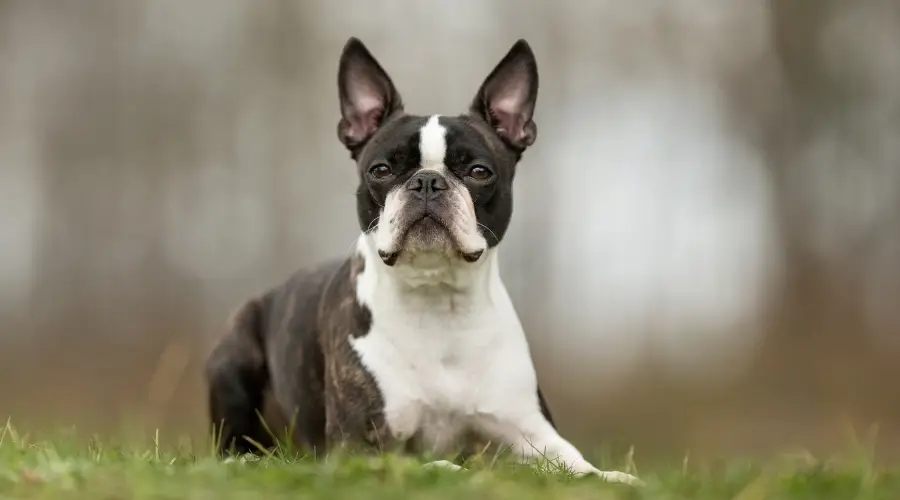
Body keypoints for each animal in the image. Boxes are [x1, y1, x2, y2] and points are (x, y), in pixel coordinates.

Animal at [204, 36, 640, 484]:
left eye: (479, 171)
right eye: (381, 170)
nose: (428, 181)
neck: (436, 299)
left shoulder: (534, 433)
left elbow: (579, 466)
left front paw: (615, 478)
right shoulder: (358, 444)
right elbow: (433, 462)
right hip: (234, 353)